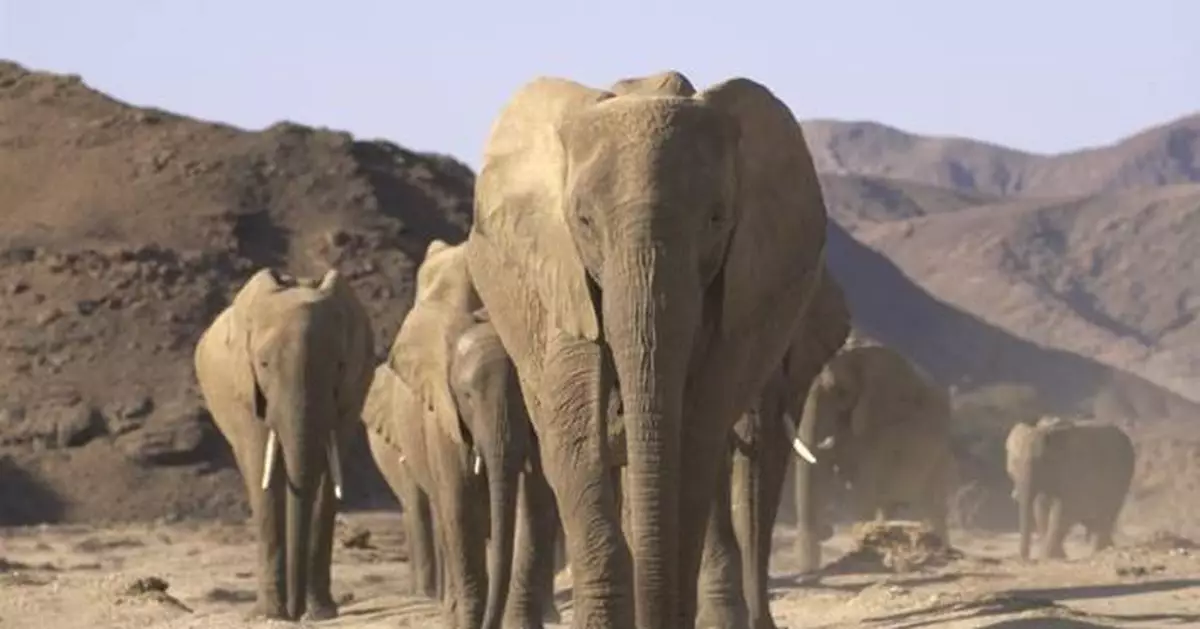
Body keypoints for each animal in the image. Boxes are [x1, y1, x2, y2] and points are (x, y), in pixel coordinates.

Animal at [194, 268, 374, 620]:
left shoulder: (352, 392)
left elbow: (327, 478)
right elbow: (262, 478)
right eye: (263, 365)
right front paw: (270, 616)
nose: (296, 610)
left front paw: (321, 614)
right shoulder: (248, 394)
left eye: (339, 365)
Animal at [361, 239, 557, 629]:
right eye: (466, 395)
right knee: (445, 515)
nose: (489, 623)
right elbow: (459, 507)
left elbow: (536, 505)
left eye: (525, 393)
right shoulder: (441, 415)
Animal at [792, 343, 957, 573]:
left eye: (841, 392)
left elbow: (863, 490)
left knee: (933, 505)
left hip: (939, 455)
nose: (827, 529)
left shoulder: (881, 426)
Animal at [1005, 417, 1135, 560]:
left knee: (1108, 511)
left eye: (1039, 461)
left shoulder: (1073, 471)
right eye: (1014, 462)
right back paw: (1106, 547)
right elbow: (1040, 509)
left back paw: (1102, 549)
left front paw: (1050, 556)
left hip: (1123, 474)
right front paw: (1056, 556)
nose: (1025, 559)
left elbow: (1064, 510)